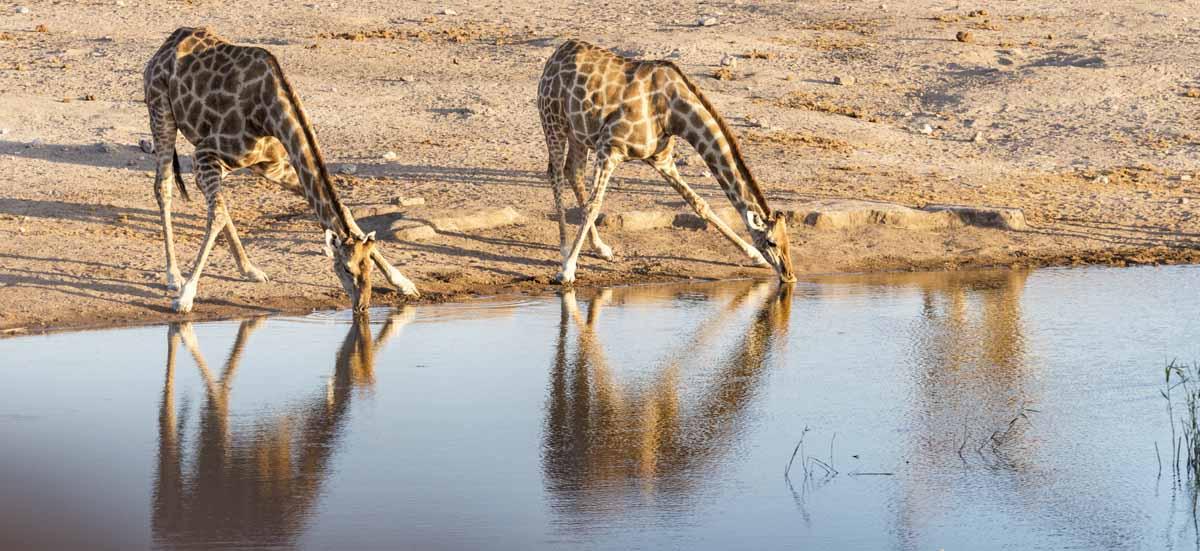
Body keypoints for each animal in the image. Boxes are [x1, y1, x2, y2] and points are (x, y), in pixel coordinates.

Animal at [144, 28, 420, 314]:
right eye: (346, 268)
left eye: (368, 268)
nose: (363, 306)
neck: (271, 112)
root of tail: (169, 43)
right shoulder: (206, 152)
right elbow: (216, 215)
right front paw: (186, 296)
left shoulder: (271, 165)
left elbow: (344, 211)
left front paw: (404, 282)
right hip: (161, 112)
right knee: (164, 187)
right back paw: (174, 276)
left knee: (216, 202)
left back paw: (250, 270)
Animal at [535, 39, 796, 284]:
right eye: (771, 242)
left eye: (788, 239)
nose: (790, 275)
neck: (674, 112)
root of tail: (557, 53)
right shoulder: (609, 148)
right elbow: (594, 205)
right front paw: (567, 270)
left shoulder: (661, 159)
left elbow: (699, 203)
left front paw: (754, 256)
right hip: (553, 120)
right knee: (556, 174)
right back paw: (565, 251)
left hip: (578, 133)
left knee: (573, 172)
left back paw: (601, 249)